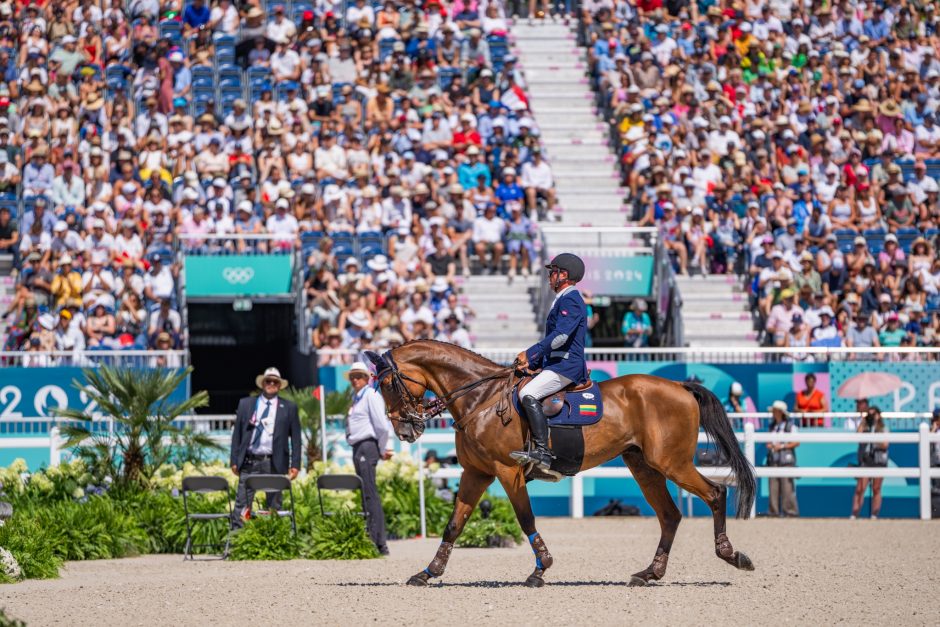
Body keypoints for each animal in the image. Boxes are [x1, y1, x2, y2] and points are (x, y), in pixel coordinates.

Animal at [366, 340, 756, 588]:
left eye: (387, 384)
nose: (405, 430)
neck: (480, 398)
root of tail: (679, 386)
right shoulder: (476, 473)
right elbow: (453, 525)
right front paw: (428, 572)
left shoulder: (507, 472)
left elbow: (525, 519)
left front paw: (541, 570)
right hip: (644, 467)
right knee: (670, 515)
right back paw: (649, 573)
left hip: (671, 463)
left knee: (715, 493)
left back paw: (732, 555)